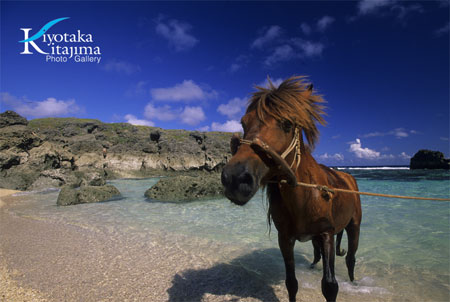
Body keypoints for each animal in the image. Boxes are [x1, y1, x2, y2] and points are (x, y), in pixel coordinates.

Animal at [221, 76, 362, 302]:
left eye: (287, 123)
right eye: (243, 123)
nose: (235, 178)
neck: (306, 196)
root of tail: (348, 177)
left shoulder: (327, 234)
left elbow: (330, 286)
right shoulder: (285, 239)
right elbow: (291, 283)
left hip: (354, 227)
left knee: (351, 258)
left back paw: (354, 282)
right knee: (317, 256)